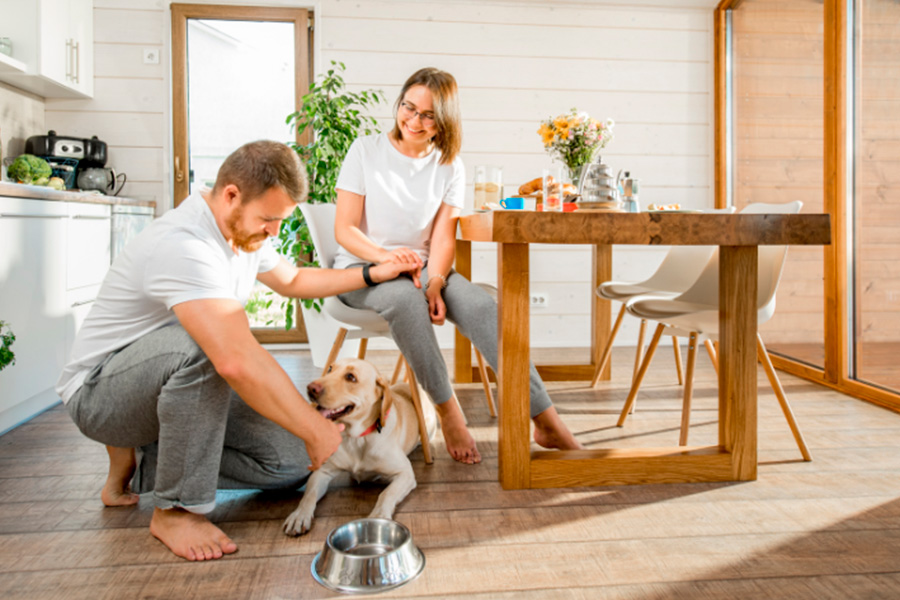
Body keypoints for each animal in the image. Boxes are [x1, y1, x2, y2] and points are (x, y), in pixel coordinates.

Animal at [282, 358, 436, 536]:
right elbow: (309, 494)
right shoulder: (322, 472)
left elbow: (386, 493)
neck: (356, 438)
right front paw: (299, 515)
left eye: (351, 377)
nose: (310, 388)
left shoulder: (405, 474)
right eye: (330, 369)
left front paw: (379, 515)